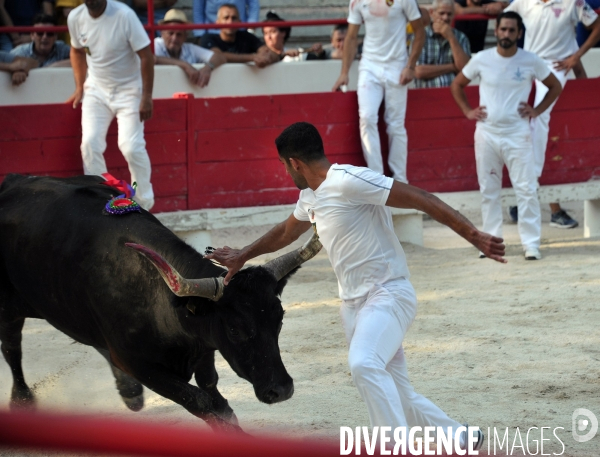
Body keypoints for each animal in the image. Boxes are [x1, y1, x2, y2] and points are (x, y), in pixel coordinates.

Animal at [0, 174, 324, 432]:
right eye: (234, 329)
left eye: (279, 320)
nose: (281, 389)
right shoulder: (137, 362)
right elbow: (201, 401)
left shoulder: (202, 344)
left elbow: (215, 395)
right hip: (8, 309)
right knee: (12, 349)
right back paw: (23, 402)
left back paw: (129, 392)